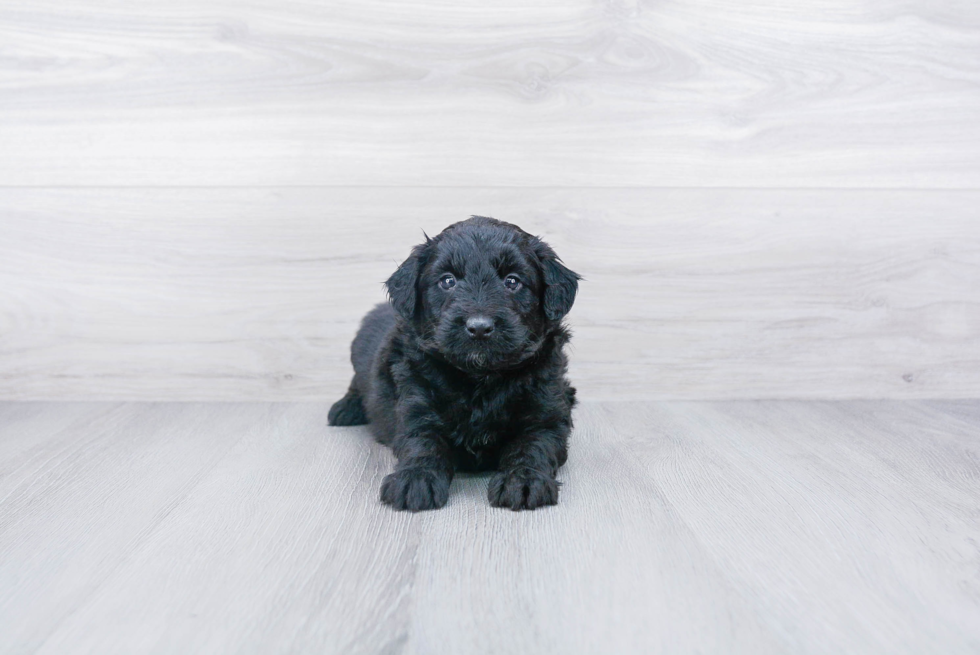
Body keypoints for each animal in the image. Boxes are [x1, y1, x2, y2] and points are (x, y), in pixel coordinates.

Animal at [328, 217, 580, 512]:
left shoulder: (546, 416)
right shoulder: (417, 407)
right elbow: (422, 443)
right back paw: (345, 409)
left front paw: (524, 480)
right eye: (447, 281)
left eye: (512, 281)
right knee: (357, 383)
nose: (479, 328)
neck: (480, 378)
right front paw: (415, 478)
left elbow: (533, 446)